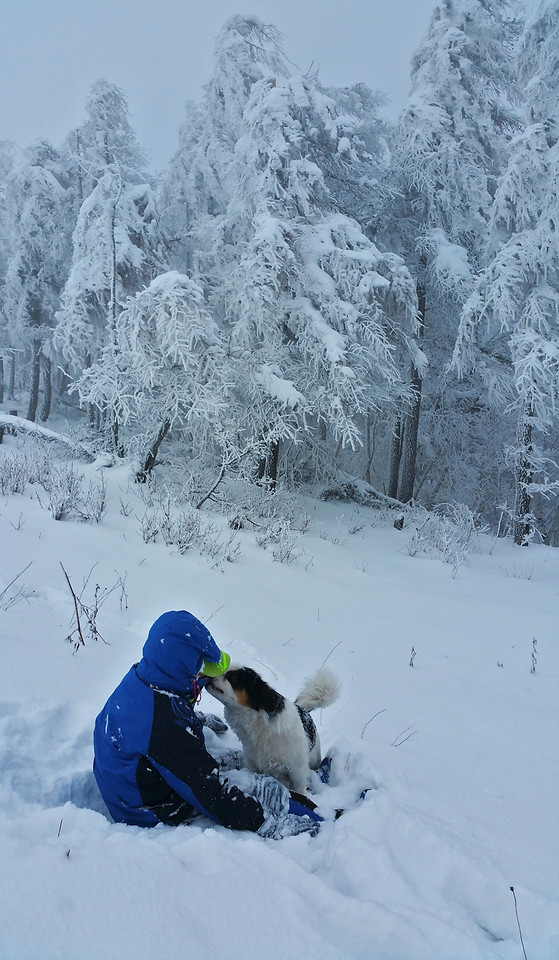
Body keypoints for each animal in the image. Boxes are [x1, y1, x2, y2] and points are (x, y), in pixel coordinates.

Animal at [203, 664, 340, 792]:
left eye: (232, 677)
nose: (208, 672)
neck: (261, 727)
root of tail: (303, 709)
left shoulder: (297, 771)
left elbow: (299, 789)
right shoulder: (254, 766)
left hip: (314, 759)